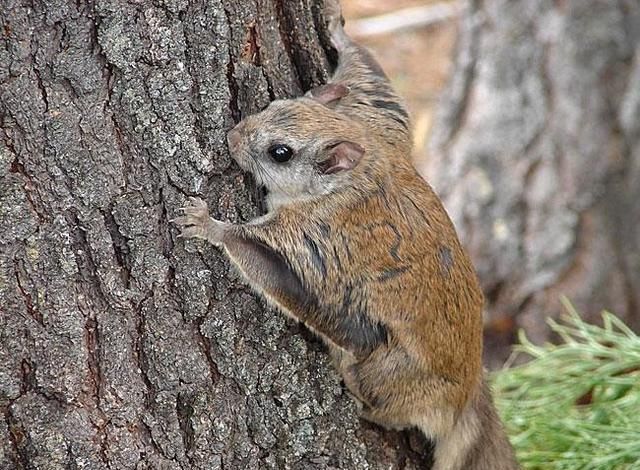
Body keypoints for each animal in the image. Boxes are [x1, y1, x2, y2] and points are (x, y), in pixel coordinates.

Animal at [174, 1, 520, 468]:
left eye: (280, 153)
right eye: (276, 101)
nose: (232, 136)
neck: (356, 175)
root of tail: (466, 396)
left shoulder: (314, 237)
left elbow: (270, 267)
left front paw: (209, 224)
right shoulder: (380, 121)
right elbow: (372, 80)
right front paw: (338, 30)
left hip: (386, 369)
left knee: (391, 408)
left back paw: (363, 402)